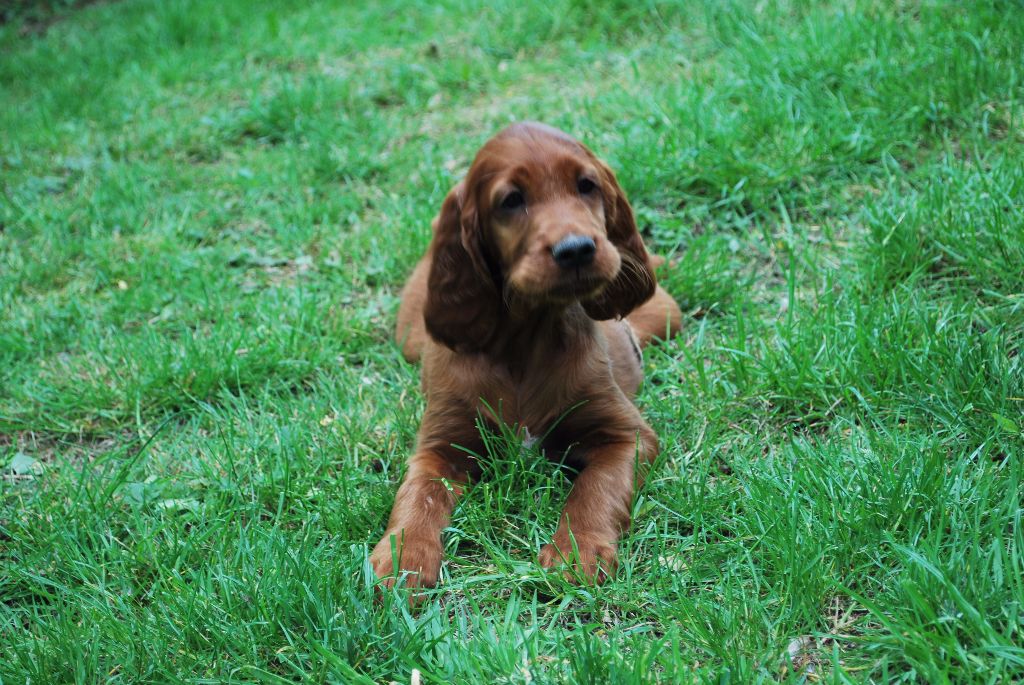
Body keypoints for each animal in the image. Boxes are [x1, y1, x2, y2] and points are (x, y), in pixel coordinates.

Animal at [370, 122, 679, 593]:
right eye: (511, 200)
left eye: (586, 185)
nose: (577, 249)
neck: (524, 343)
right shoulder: (440, 447)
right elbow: (417, 495)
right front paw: (403, 558)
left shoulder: (626, 436)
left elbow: (596, 488)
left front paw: (576, 551)